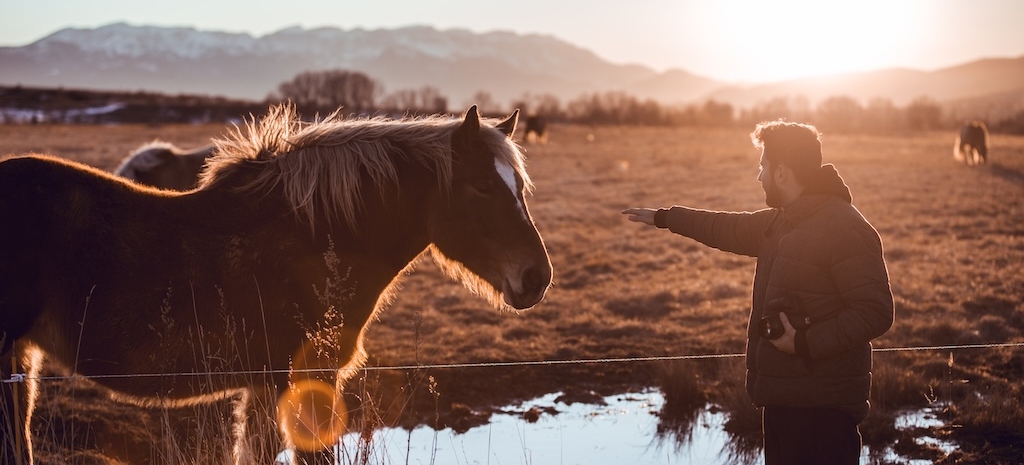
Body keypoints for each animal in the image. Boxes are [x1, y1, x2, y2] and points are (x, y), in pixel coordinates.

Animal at [0, 103, 552, 462]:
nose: (537, 277)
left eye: (521, 187)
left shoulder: (264, 386)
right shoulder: (308, 381)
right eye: (481, 187)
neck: (314, 237)